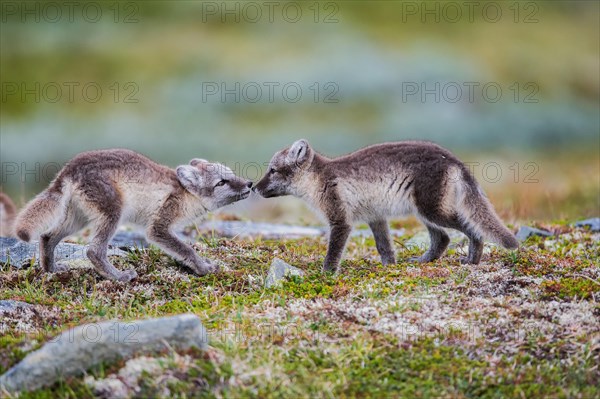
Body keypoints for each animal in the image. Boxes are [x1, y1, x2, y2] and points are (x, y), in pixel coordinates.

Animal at [14, 148, 253, 282]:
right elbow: (186, 249)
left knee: (46, 237)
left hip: (77, 219)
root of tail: (68, 169)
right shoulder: (159, 227)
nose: (250, 184)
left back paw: (51, 270)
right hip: (113, 214)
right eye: (221, 182)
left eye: (231, 174)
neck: (186, 194)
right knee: (93, 251)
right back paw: (119, 277)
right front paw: (203, 268)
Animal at [255, 139, 516, 274]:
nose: (255, 187)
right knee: (442, 238)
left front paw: (325, 275)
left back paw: (472, 260)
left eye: (272, 170)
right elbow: (384, 247)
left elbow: (333, 253)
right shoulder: (376, 217)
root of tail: (453, 159)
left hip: (431, 210)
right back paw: (423, 261)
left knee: (470, 229)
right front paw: (390, 267)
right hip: (424, 212)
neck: (319, 179)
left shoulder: (340, 221)